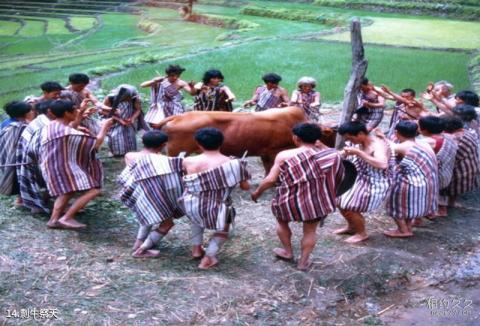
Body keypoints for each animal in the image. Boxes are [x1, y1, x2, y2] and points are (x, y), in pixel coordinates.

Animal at [156, 107, 336, 173]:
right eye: (331, 134)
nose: (334, 147)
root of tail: (180, 116)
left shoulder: (265, 153)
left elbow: (267, 168)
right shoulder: (274, 151)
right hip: (176, 152)